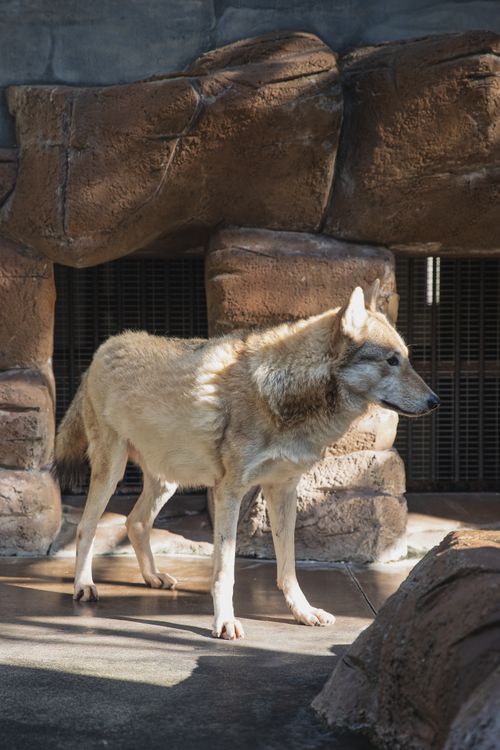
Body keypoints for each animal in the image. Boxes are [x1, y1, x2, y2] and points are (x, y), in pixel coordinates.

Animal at [54, 281, 439, 639]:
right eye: (391, 360)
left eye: (407, 358)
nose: (435, 401)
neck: (285, 395)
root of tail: (104, 347)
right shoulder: (230, 492)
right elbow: (225, 570)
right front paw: (224, 622)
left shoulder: (283, 491)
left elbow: (288, 567)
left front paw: (304, 613)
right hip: (112, 472)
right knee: (86, 528)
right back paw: (84, 586)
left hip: (169, 481)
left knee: (134, 522)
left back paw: (153, 577)